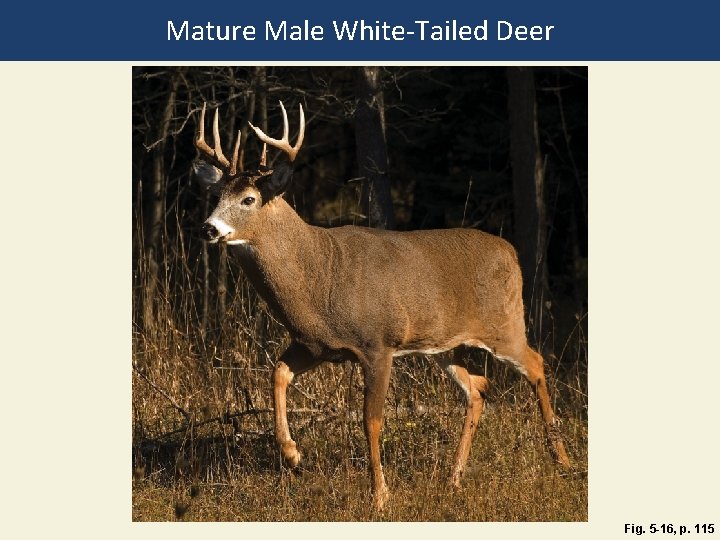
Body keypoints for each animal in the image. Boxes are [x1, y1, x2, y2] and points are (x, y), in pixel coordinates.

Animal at [193, 100, 570, 511]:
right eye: (216, 195)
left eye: (248, 199)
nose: (209, 228)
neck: (318, 281)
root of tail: (512, 252)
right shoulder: (314, 345)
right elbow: (277, 373)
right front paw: (293, 454)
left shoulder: (377, 343)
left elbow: (370, 420)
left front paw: (379, 494)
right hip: (444, 346)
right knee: (478, 387)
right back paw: (454, 477)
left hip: (503, 323)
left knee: (536, 363)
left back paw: (562, 460)